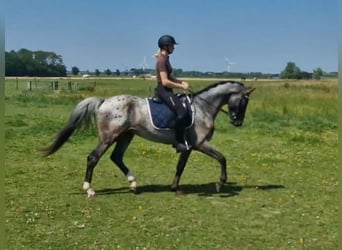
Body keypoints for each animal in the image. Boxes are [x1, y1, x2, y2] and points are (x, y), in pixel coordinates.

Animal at [40, 81, 254, 198]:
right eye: (243, 101)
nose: (238, 122)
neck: (203, 107)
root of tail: (104, 102)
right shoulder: (198, 144)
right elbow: (221, 158)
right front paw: (219, 184)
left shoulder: (190, 147)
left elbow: (182, 166)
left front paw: (176, 187)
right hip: (109, 137)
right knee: (93, 158)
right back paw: (89, 189)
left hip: (126, 136)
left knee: (116, 157)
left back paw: (133, 184)